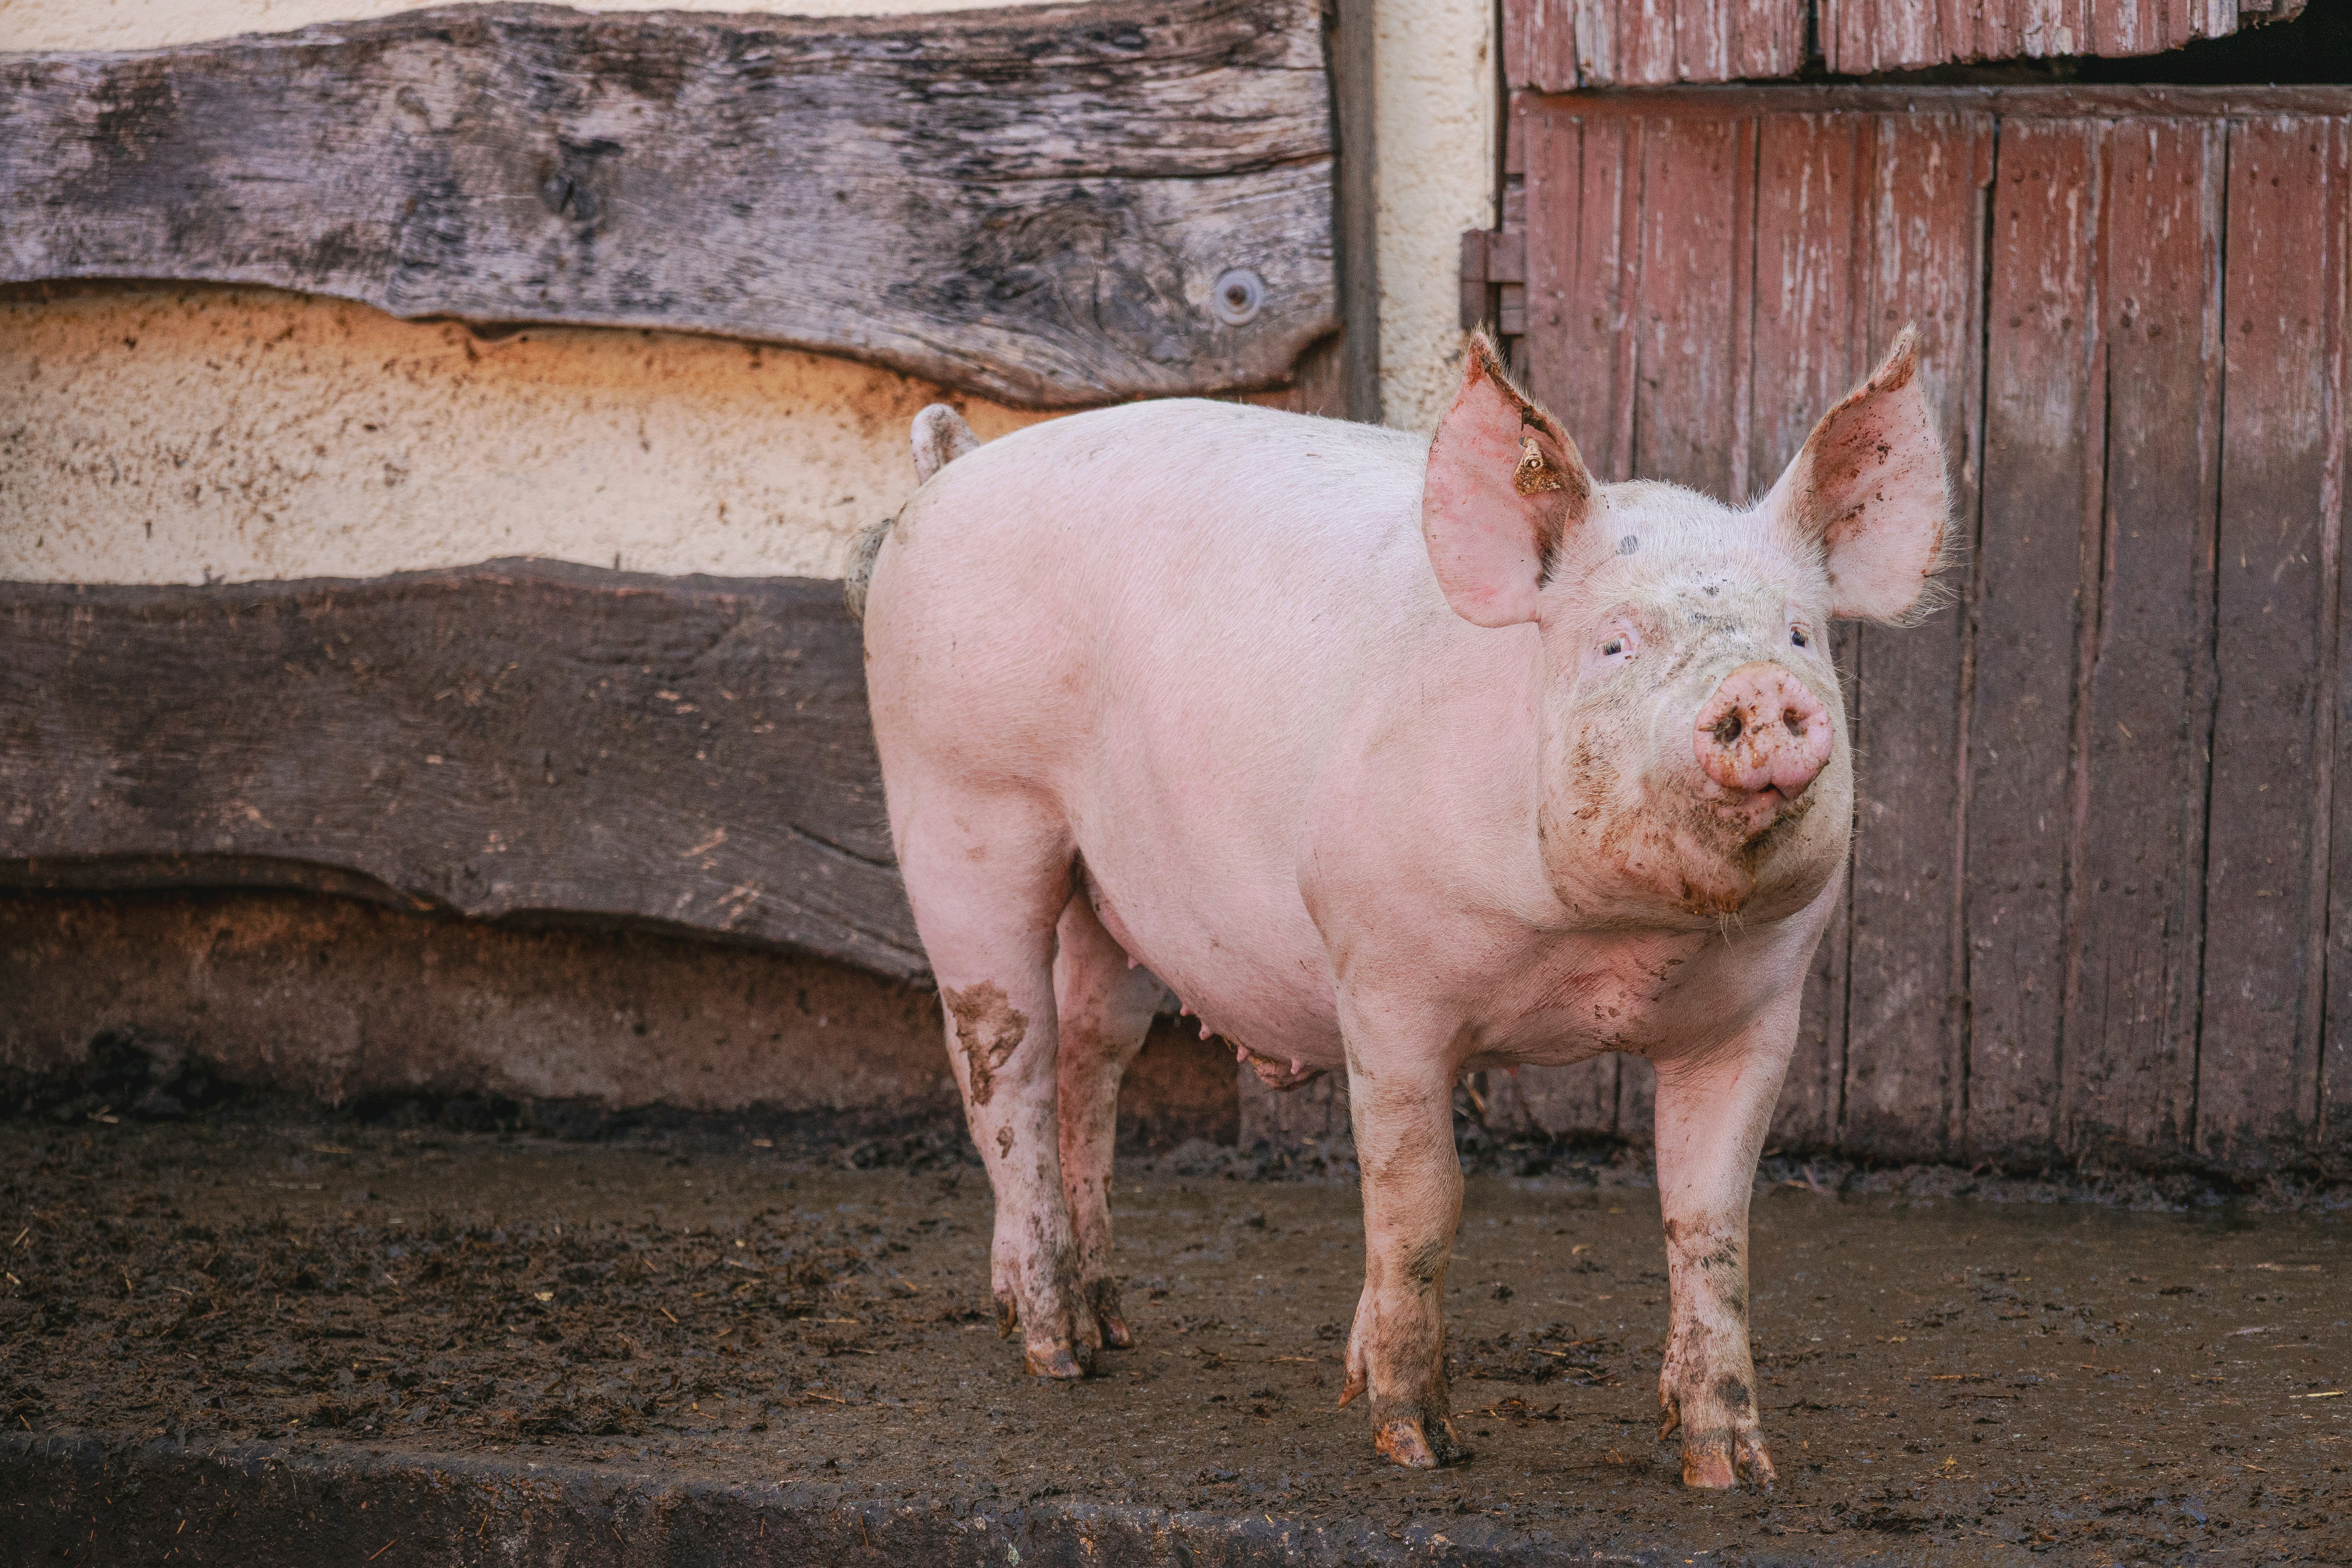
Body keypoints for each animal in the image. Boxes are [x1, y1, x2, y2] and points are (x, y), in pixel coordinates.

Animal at [854, 330, 1949, 1487]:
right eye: (1614, 642)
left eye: (1801, 635)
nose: (1761, 692)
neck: (1614, 952)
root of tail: (958, 466)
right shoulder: (1384, 976)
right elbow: (1422, 1199)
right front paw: (1417, 1443)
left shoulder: (1759, 1010)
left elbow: (1710, 1219)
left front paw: (1733, 1469)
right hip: (963, 806)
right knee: (1002, 1056)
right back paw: (1057, 1352)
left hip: (1107, 893)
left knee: (1090, 1061)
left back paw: (1110, 1326)